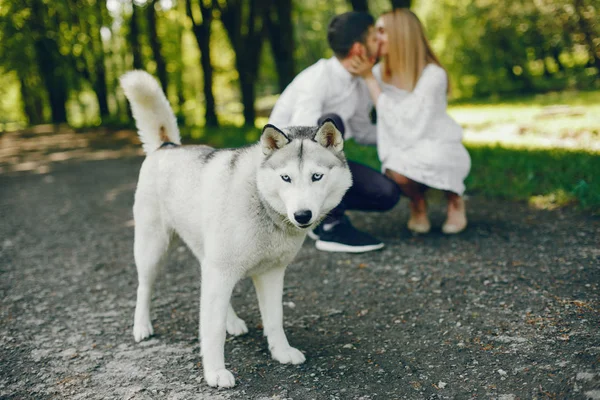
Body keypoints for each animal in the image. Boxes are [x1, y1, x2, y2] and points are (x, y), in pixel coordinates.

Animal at [120, 71, 354, 388]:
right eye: (286, 178)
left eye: (316, 176)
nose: (302, 215)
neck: (262, 203)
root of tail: (167, 146)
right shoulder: (221, 271)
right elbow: (212, 329)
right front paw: (215, 372)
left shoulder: (270, 274)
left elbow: (274, 319)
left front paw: (281, 352)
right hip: (153, 249)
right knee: (144, 287)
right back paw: (142, 326)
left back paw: (231, 321)